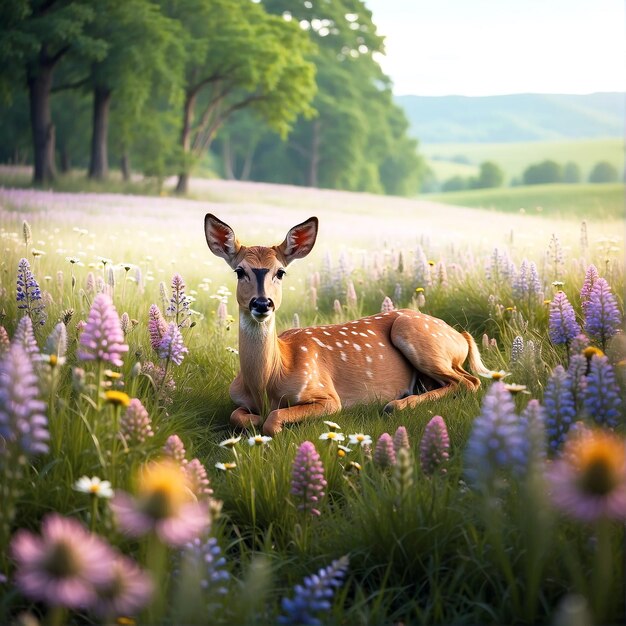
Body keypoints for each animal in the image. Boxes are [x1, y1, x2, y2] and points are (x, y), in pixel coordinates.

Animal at [205, 213, 498, 434]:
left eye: (281, 271)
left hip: (418, 336)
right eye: (239, 271)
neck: (268, 381)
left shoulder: (327, 394)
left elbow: (273, 418)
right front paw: (254, 418)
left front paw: (268, 421)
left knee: (469, 381)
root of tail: (461, 337)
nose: (262, 303)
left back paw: (395, 405)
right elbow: (237, 416)